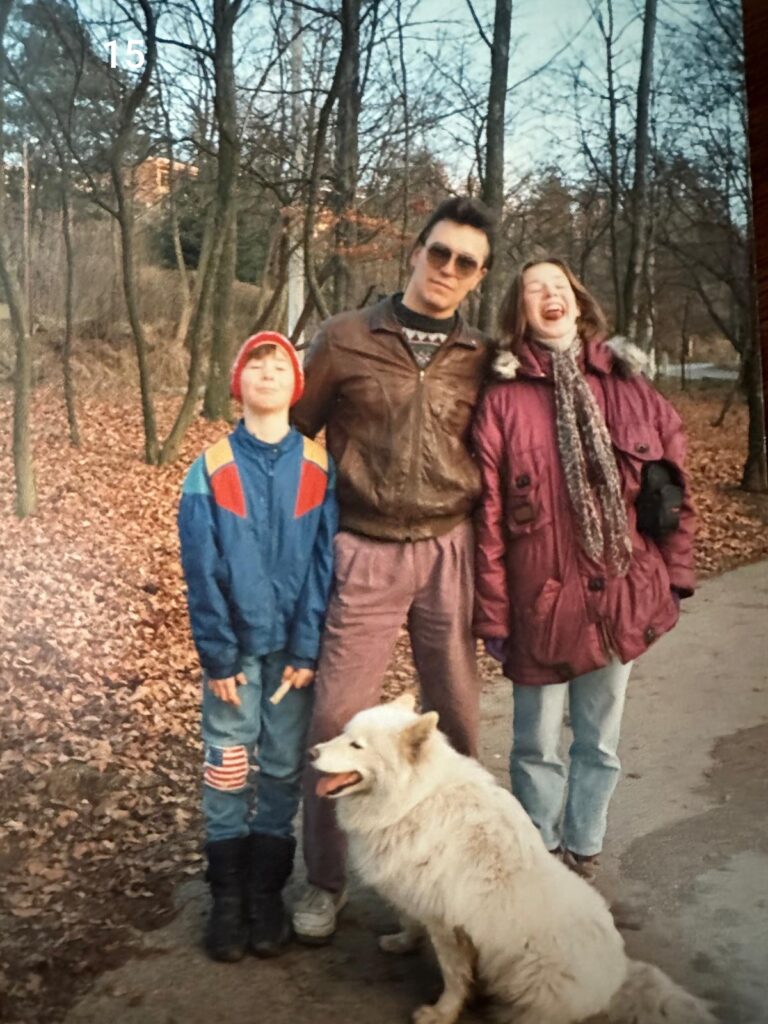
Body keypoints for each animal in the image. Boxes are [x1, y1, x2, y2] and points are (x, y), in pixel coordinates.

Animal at [311, 696, 717, 1024]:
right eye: (343, 734)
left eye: (356, 745)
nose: (312, 752)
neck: (415, 799)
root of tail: (618, 979)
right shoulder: (416, 896)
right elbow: (409, 920)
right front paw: (402, 941)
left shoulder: (447, 924)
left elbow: (454, 976)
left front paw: (442, 1013)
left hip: (525, 976)